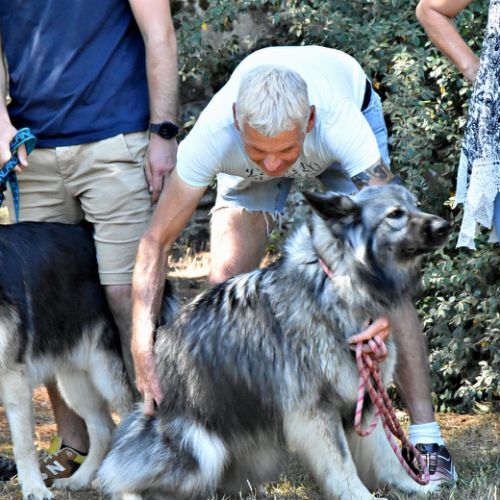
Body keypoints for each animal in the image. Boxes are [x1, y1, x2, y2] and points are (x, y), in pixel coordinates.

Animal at [0, 221, 135, 500]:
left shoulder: (12, 377)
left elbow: (23, 444)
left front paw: (34, 488)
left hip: (110, 376)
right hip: (75, 382)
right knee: (104, 429)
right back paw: (82, 479)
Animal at [99, 185, 450, 500]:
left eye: (415, 206)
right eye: (396, 214)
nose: (444, 225)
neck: (338, 282)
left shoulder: (364, 398)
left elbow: (387, 457)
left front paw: (415, 486)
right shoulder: (316, 411)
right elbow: (343, 467)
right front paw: (362, 497)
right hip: (202, 447)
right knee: (120, 475)